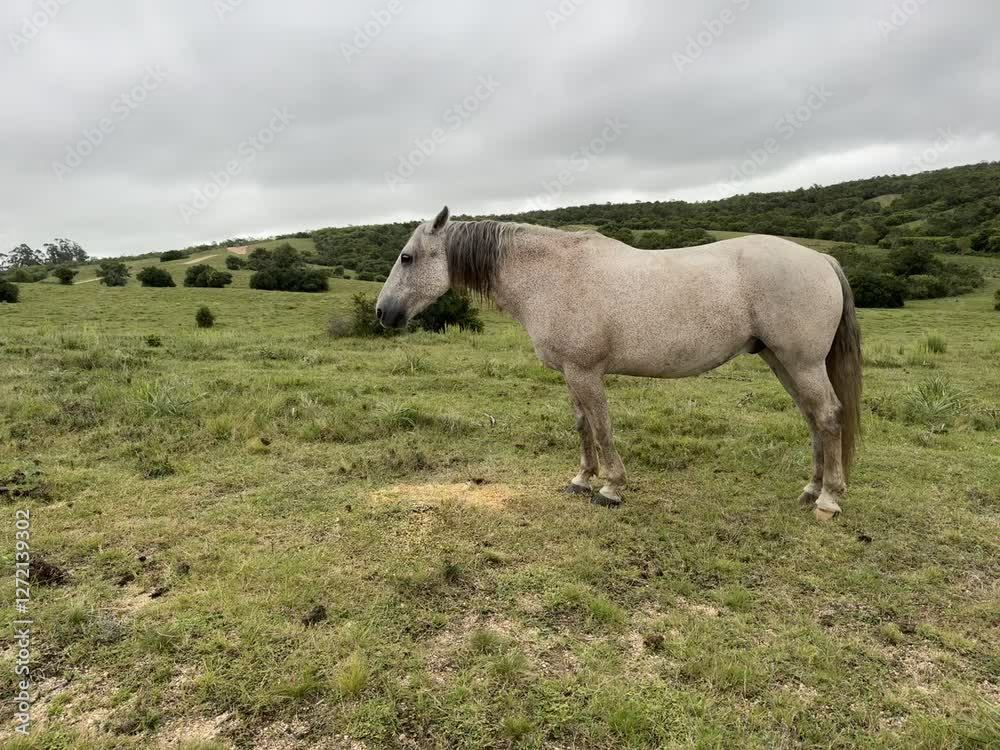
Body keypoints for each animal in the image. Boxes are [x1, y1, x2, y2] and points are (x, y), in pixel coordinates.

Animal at [376, 207, 862, 520]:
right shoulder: (572, 373)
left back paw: (829, 500)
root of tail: (821, 258)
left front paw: (610, 488)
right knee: (813, 419)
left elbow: (603, 426)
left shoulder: (586, 373)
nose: (384, 313)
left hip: (802, 363)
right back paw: (811, 489)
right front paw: (582, 480)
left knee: (828, 416)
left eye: (407, 257)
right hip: (783, 362)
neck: (553, 275)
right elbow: (583, 426)